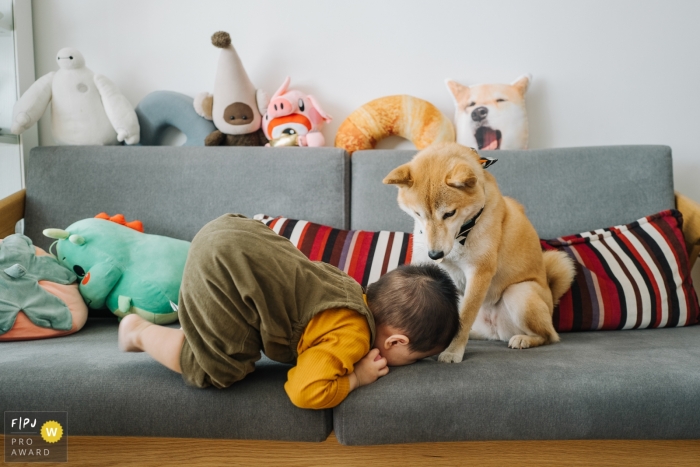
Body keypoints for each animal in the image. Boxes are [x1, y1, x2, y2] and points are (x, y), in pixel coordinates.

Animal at [382, 144, 576, 364]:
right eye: (418, 214)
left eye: (449, 213)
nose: (435, 254)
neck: (461, 235)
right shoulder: (425, 262)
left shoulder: (478, 272)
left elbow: (464, 318)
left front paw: (452, 351)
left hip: (520, 293)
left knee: (549, 336)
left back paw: (524, 339)